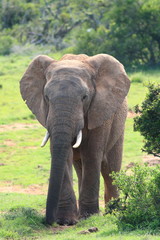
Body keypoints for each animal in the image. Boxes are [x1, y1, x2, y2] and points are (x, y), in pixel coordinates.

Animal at [20, 53, 130, 226]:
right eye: (46, 97)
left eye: (85, 97)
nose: (48, 221)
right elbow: (62, 154)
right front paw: (66, 221)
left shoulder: (100, 111)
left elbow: (92, 155)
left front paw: (90, 217)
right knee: (81, 167)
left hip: (118, 126)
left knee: (110, 169)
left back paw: (114, 212)